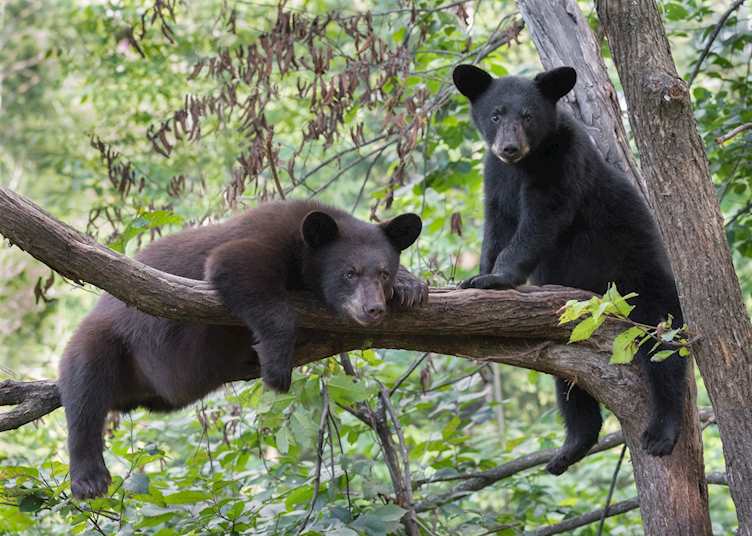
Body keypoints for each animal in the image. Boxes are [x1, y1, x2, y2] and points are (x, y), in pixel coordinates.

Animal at [58, 199, 427, 499]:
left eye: (384, 273)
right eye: (349, 273)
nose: (373, 309)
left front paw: (411, 286)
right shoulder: (262, 238)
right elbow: (233, 265)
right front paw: (277, 365)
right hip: (106, 338)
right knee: (84, 391)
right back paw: (89, 478)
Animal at [452, 64, 688, 474]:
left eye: (528, 115)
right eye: (495, 115)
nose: (509, 148)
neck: (525, 164)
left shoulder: (562, 163)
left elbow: (541, 219)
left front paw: (496, 277)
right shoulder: (496, 179)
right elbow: (496, 227)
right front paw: (479, 275)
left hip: (644, 286)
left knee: (663, 352)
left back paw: (661, 432)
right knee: (569, 379)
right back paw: (571, 447)